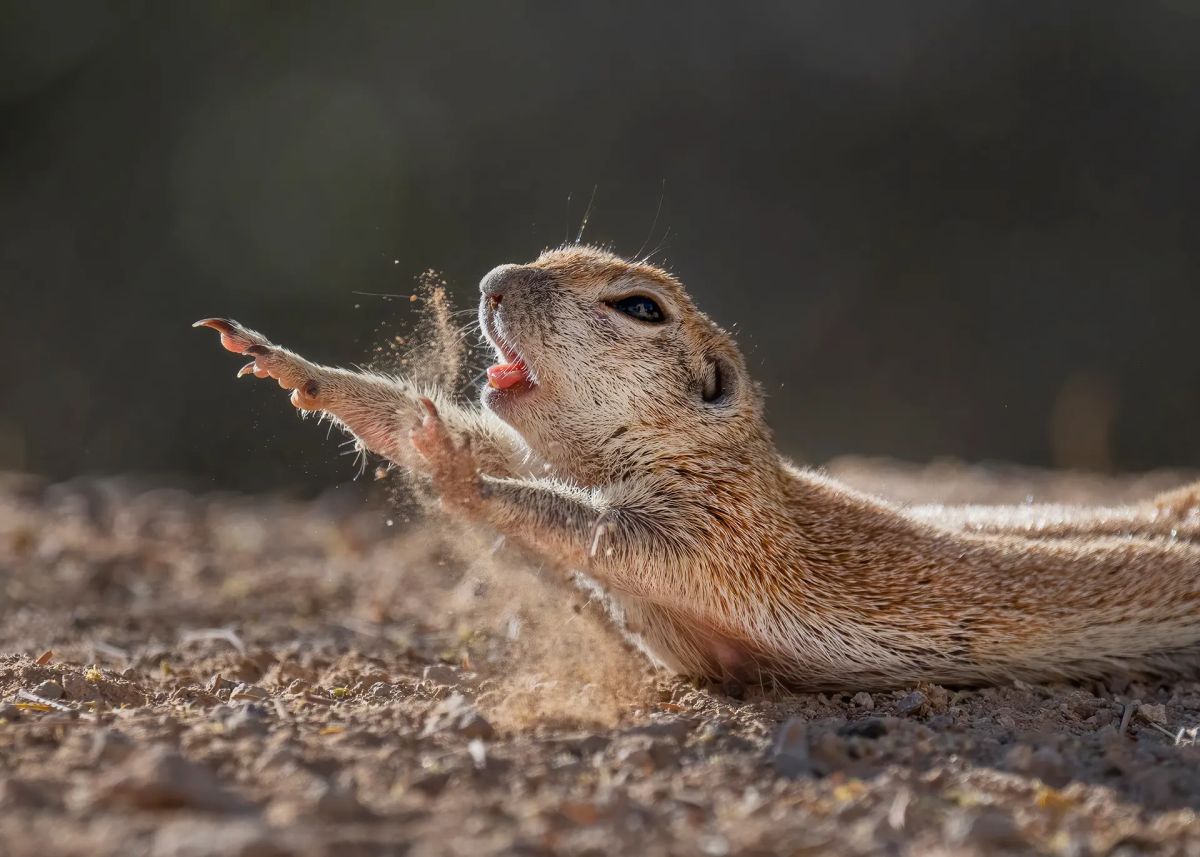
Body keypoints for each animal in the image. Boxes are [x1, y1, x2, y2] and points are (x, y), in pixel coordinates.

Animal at [194, 244, 1200, 686]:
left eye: (640, 307)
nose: (489, 282)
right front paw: (299, 370)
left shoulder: (720, 534)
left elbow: (599, 533)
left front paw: (454, 474)